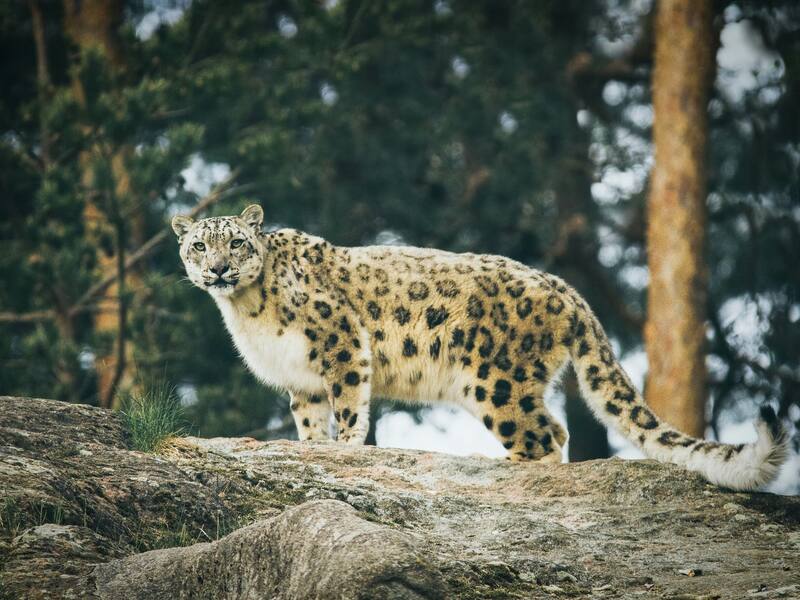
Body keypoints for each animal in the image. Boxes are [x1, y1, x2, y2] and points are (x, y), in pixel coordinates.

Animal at [172, 204, 788, 491]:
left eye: (236, 242)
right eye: (199, 244)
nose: (218, 268)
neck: (245, 312)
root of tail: (565, 288)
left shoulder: (341, 343)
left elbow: (348, 405)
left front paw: (344, 447)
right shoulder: (300, 380)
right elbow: (309, 420)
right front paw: (312, 448)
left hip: (493, 380)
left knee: (545, 434)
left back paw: (498, 465)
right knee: (555, 430)